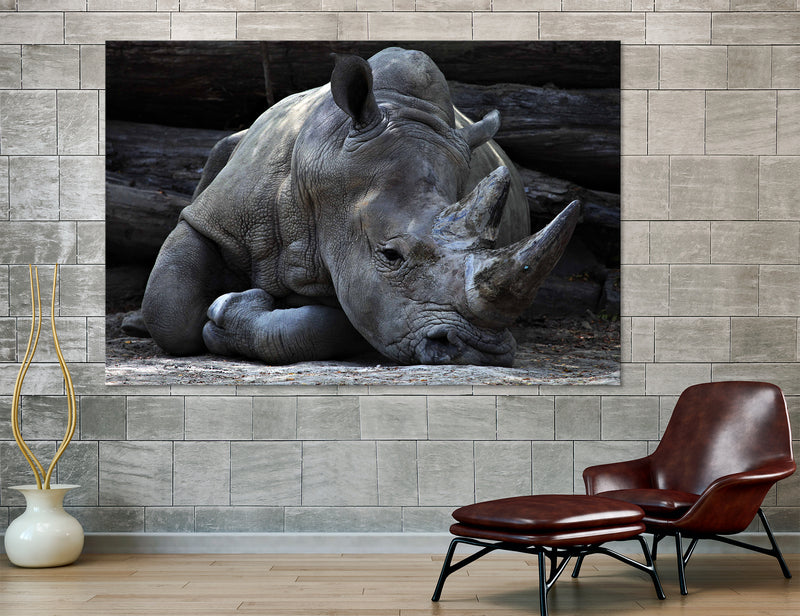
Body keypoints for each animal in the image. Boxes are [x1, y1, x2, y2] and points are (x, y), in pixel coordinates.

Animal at [141, 47, 579, 367]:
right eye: (390, 254)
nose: (478, 351)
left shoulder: (370, 290)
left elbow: (337, 323)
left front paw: (232, 310)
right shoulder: (217, 218)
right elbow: (167, 309)